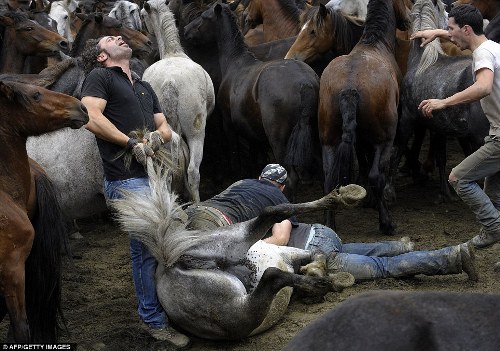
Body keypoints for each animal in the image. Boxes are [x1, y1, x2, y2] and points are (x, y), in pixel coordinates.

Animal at [113, 160, 364, 340]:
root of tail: (169, 263)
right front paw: (321, 279)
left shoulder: (292, 253)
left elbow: (317, 256)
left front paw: (319, 273)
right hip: (236, 260)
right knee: (273, 250)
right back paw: (340, 199)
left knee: (273, 262)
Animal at [143, 0, 217, 204]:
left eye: (142, 15)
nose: (145, 33)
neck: (173, 53)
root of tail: (170, 82)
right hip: (196, 131)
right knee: (192, 170)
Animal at [320, 0, 410, 236]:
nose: (407, 20)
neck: (374, 43)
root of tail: (349, 89)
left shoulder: (359, 139)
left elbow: (362, 158)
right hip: (384, 139)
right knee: (376, 175)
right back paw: (386, 223)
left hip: (329, 141)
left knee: (329, 180)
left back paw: (329, 224)